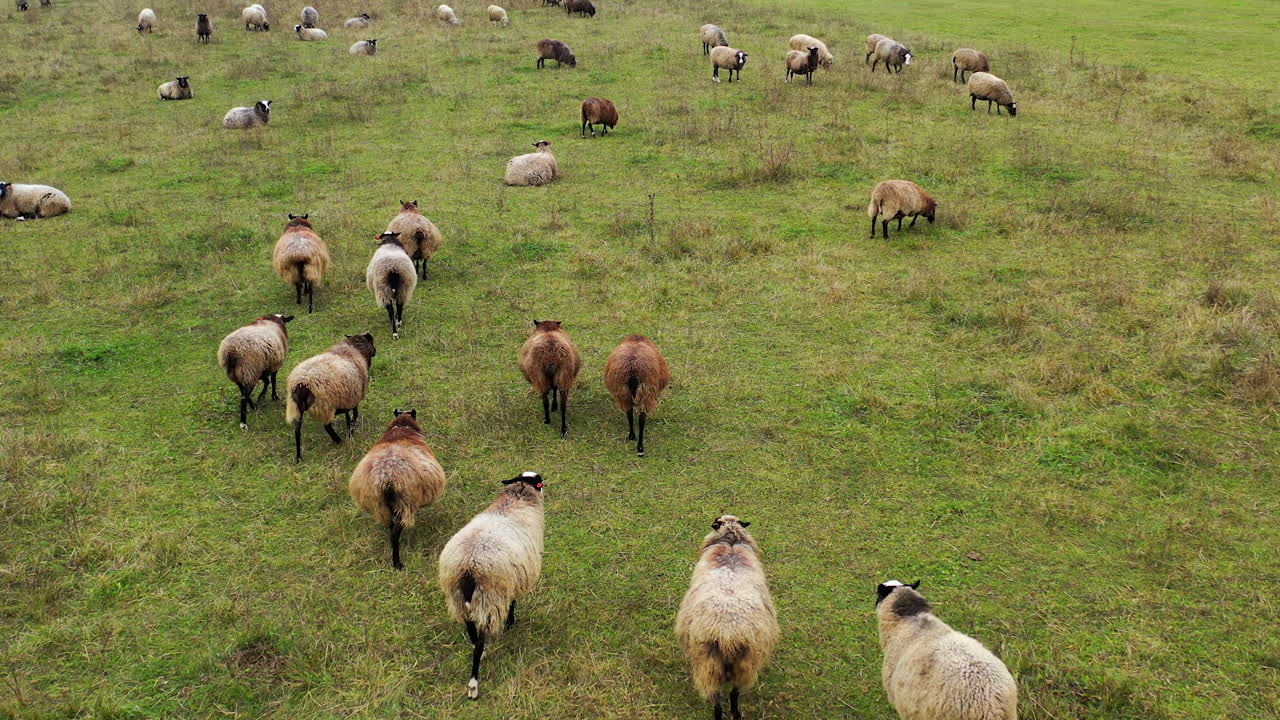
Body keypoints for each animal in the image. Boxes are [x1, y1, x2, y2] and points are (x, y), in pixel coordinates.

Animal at [285, 333, 376, 462]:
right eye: (372, 341)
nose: (375, 351)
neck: (355, 348)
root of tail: (302, 383)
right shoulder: (354, 397)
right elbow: (354, 413)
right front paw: (351, 429)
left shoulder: (346, 397)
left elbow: (348, 415)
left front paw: (350, 427)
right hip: (325, 405)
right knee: (327, 426)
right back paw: (337, 440)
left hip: (297, 408)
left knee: (297, 431)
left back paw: (298, 457)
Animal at [349, 409, 446, 570]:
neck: (401, 429)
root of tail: (386, 476)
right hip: (404, 503)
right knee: (394, 534)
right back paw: (397, 563)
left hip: (381, 506)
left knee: (390, 526)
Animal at [437, 471, 546, 700]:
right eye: (539, 482)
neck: (519, 496)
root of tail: (468, 566)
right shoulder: (513, 581)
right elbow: (513, 602)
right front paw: (511, 623)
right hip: (489, 598)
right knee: (478, 642)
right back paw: (473, 685)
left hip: (458, 597)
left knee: (471, 630)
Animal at [676, 515, 779, 720]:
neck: (730, 543)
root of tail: (728, 635)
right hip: (744, 664)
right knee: (735, 692)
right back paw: (736, 713)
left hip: (709, 664)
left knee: (717, 696)